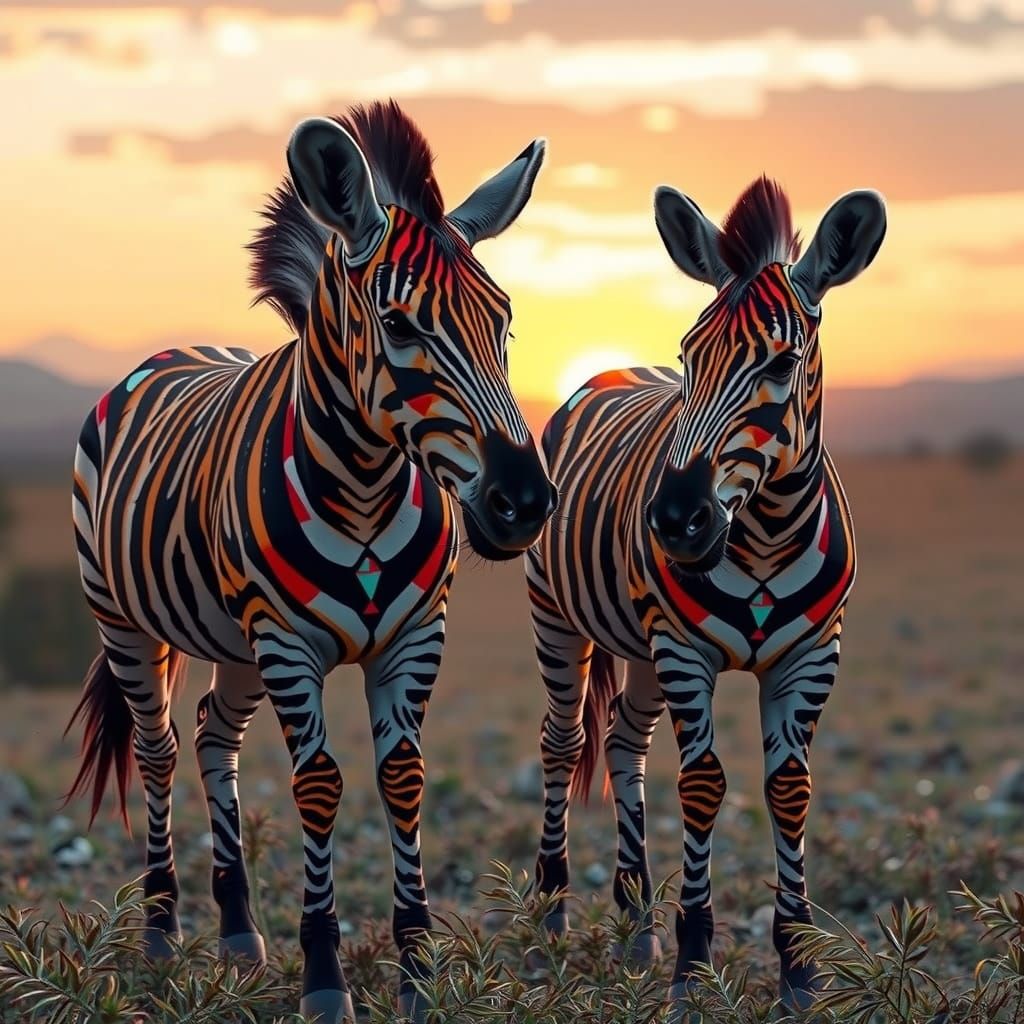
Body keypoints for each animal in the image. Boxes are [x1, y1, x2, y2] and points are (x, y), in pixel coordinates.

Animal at [65, 100, 556, 1024]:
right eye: (398, 325)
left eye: (505, 321)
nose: (525, 502)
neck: (363, 487)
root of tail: (166, 353)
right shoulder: (290, 646)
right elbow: (320, 785)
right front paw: (326, 978)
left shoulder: (413, 638)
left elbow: (403, 777)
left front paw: (417, 976)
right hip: (126, 622)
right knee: (158, 749)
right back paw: (160, 934)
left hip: (233, 642)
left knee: (212, 734)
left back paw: (236, 932)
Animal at [526, 176, 886, 1015]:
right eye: (690, 356)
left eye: (783, 363)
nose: (676, 518)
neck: (765, 535)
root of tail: (604, 372)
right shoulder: (686, 651)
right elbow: (702, 783)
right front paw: (692, 964)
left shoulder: (811, 656)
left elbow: (789, 789)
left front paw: (798, 969)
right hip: (559, 617)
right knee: (563, 741)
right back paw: (551, 921)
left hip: (642, 648)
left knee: (623, 741)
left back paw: (635, 928)